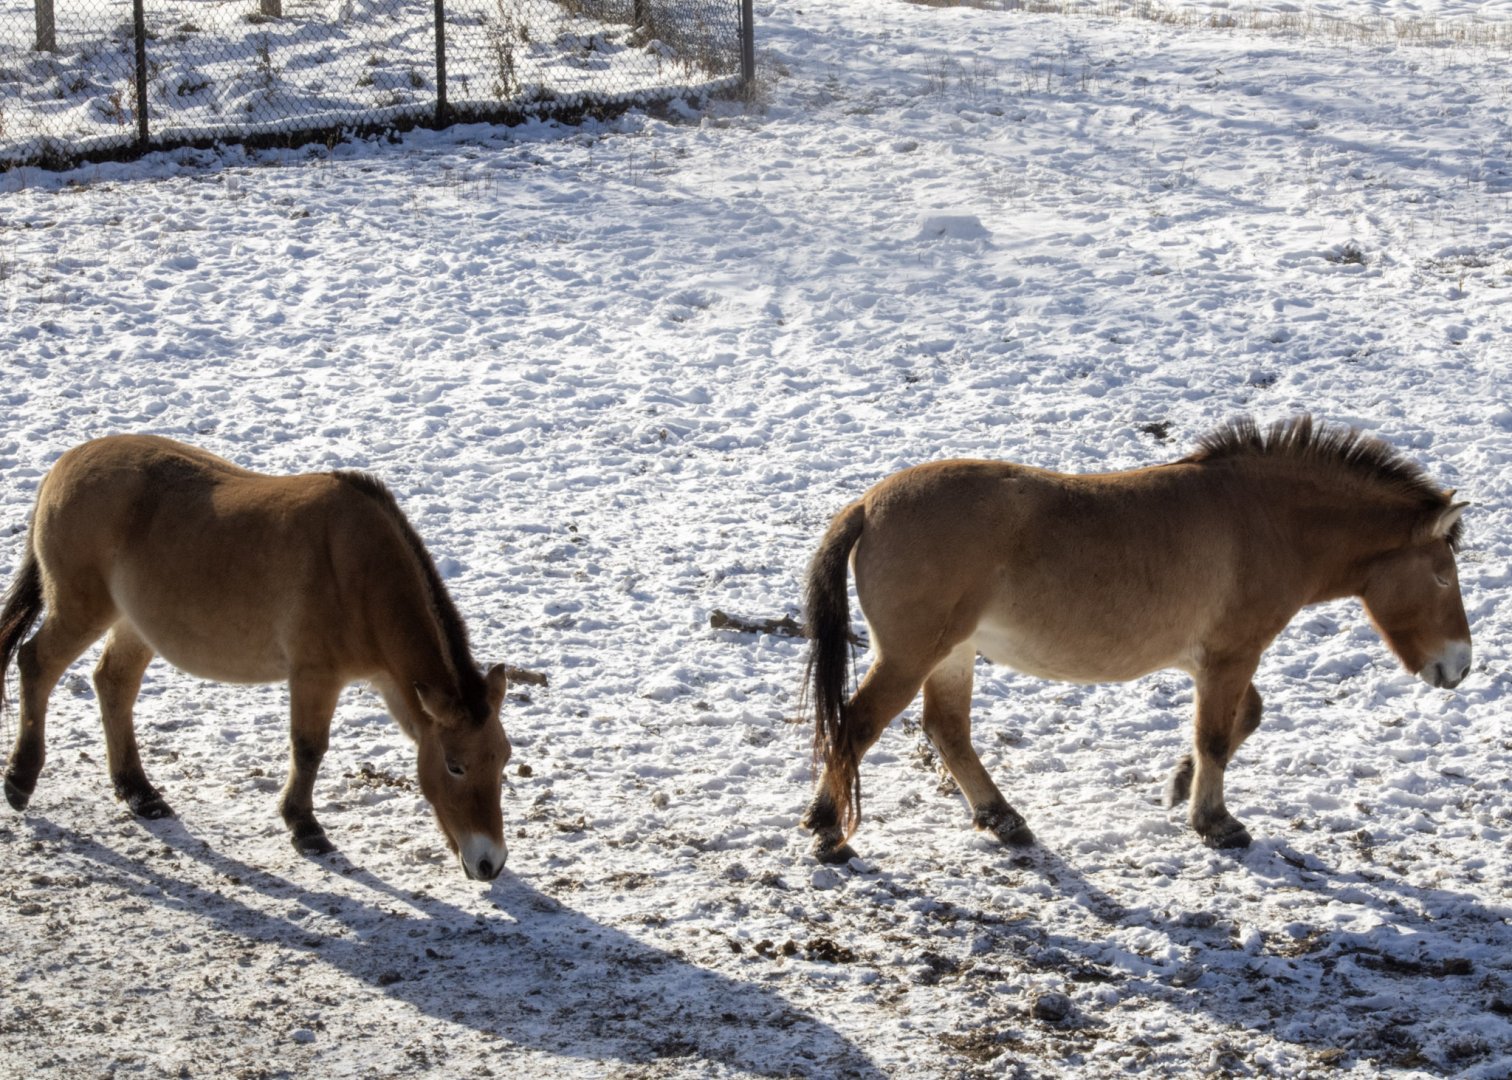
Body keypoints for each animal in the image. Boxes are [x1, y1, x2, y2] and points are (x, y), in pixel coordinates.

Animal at [0, 435, 512, 881]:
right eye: (455, 765)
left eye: (503, 759)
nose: (490, 862)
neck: (358, 570)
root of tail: (63, 467)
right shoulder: (315, 676)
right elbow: (309, 749)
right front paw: (305, 827)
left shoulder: (386, 683)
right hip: (82, 609)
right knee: (35, 664)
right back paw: (21, 780)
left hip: (134, 625)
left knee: (113, 684)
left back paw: (139, 792)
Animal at [801, 416, 1471, 863]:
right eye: (1442, 574)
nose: (1460, 666)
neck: (1263, 520)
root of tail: (868, 505)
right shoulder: (1232, 655)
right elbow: (1217, 736)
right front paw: (1216, 822)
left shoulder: (1215, 662)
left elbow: (1241, 721)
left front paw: (1179, 785)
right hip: (913, 655)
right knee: (857, 725)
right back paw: (829, 828)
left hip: (953, 656)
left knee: (946, 731)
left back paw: (1002, 819)